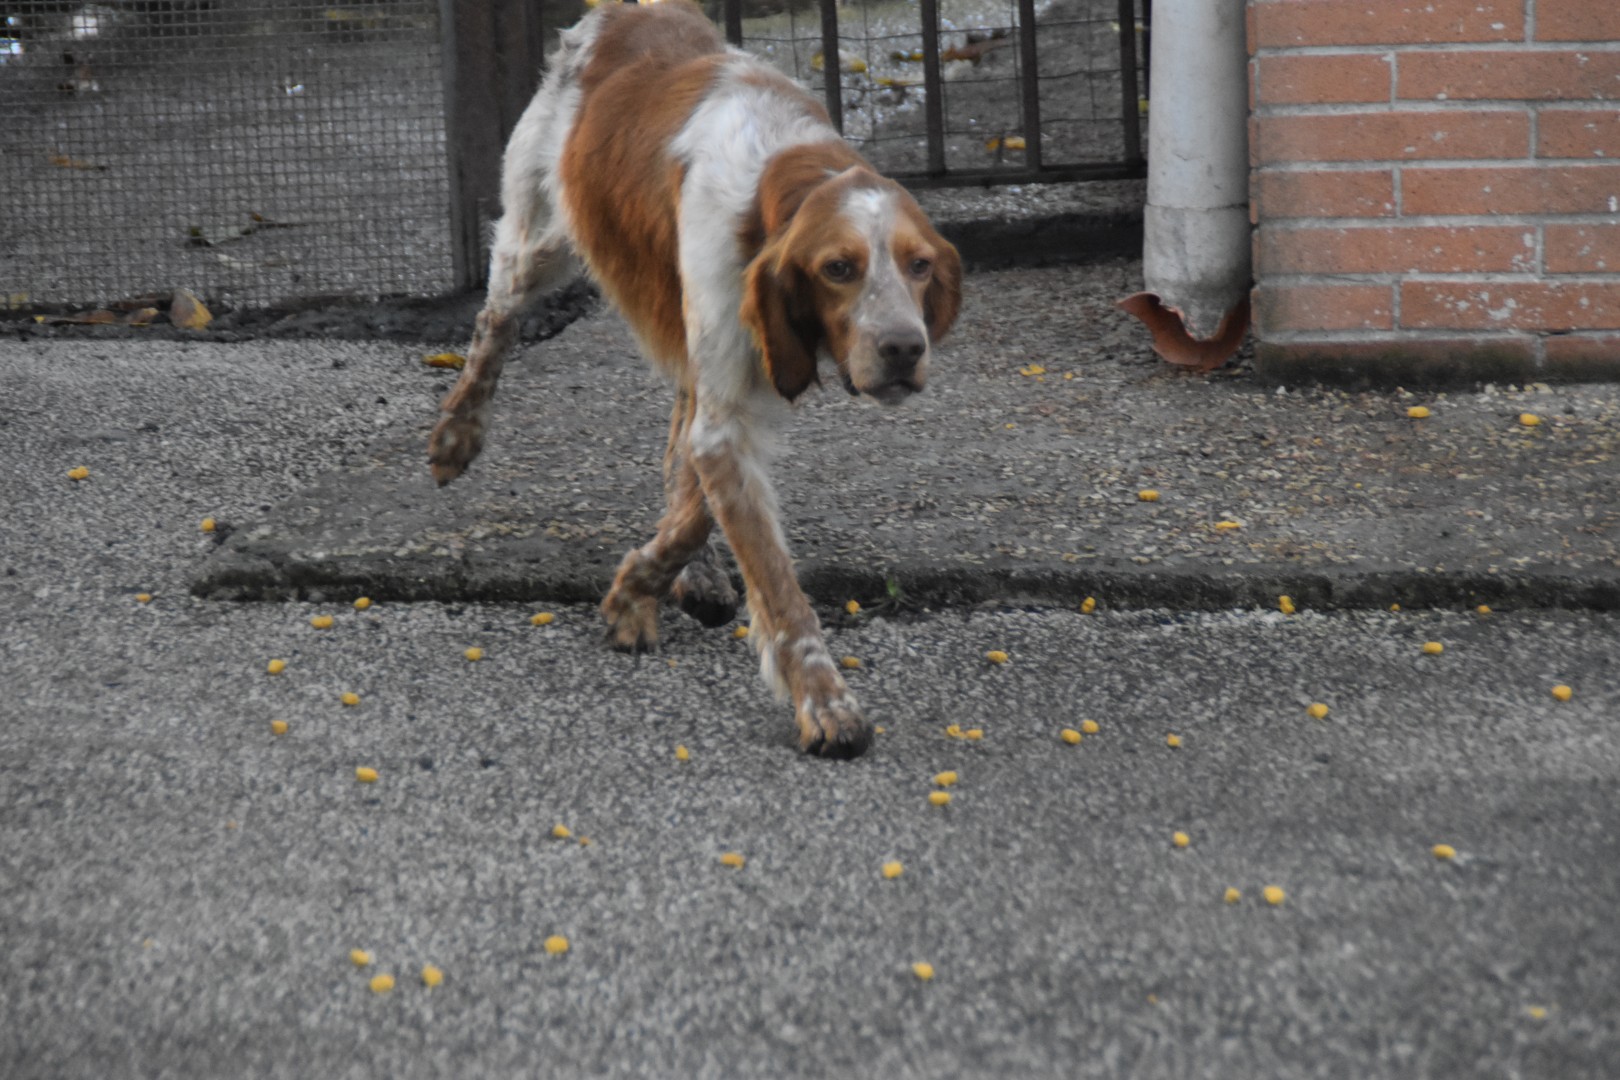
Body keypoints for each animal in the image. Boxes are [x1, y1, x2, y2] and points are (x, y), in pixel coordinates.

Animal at [427, 0, 961, 759]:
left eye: (919, 266)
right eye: (839, 268)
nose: (904, 349)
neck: (776, 176)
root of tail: (625, 12)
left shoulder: (735, 390)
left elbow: (693, 507)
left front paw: (641, 590)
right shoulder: (728, 408)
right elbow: (770, 574)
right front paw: (825, 703)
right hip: (540, 242)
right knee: (492, 326)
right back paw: (457, 435)